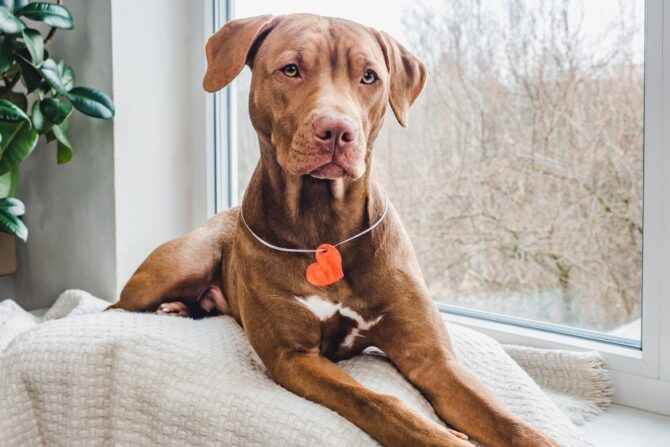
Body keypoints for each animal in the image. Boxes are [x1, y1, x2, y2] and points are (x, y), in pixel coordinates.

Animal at [109, 14, 560, 447]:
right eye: (291, 69)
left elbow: (509, 423)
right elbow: (379, 402)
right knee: (116, 308)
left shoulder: (431, 357)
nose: (337, 130)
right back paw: (172, 306)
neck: (324, 226)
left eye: (369, 77)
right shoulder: (296, 357)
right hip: (180, 264)